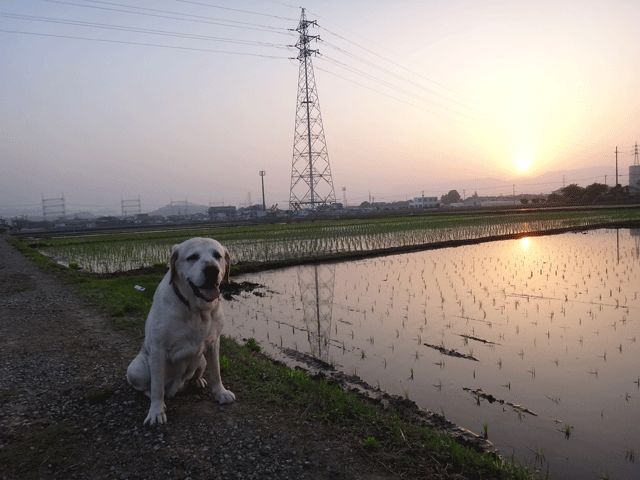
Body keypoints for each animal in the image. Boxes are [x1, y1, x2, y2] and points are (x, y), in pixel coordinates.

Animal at [125, 236, 235, 424]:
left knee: (195, 373)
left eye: (217, 256)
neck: (196, 310)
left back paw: (196, 381)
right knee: (148, 386)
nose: (212, 270)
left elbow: (216, 371)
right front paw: (156, 411)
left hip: (201, 359)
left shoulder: (213, 343)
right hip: (136, 368)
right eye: (192, 257)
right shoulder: (158, 349)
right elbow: (157, 385)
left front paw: (221, 393)